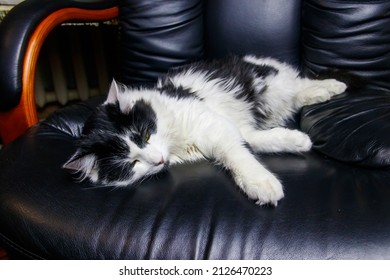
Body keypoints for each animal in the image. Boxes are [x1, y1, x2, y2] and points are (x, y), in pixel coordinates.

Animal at [64, 56, 348, 206]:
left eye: (145, 135)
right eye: (131, 164)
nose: (159, 160)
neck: (175, 144)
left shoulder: (214, 126)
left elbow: (239, 156)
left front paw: (261, 183)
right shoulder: (231, 128)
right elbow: (255, 142)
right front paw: (298, 141)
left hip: (274, 85)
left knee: (301, 84)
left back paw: (333, 86)